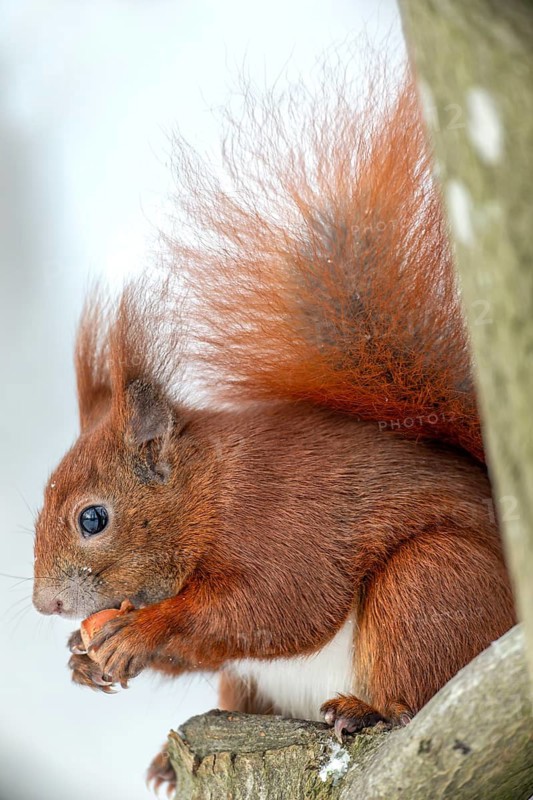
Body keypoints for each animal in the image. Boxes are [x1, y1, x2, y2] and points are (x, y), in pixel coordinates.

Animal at [32, 61, 515, 791]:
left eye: (93, 518)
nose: (43, 604)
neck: (209, 495)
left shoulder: (283, 525)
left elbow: (275, 607)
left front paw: (141, 631)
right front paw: (80, 658)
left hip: (433, 584)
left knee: (416, 681)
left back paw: (369, 710)